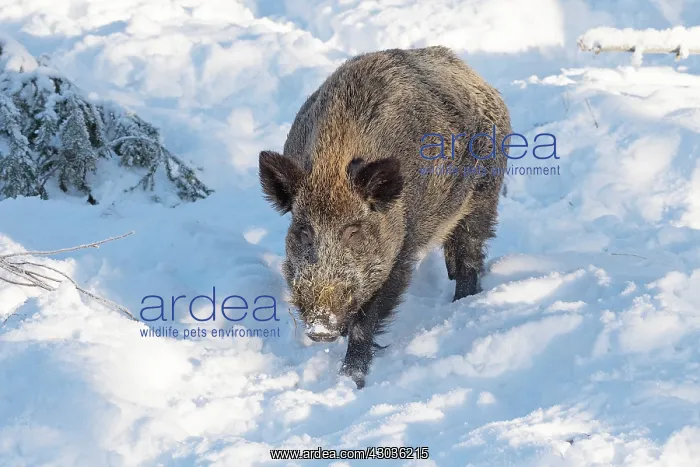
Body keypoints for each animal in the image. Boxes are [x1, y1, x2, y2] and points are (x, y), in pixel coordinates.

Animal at [259, 46, 511, 388]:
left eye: (354, 230)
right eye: (304, 230)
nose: (321, 327)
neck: (332, 162)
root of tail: (476, 77)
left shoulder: (402, 248)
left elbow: (369, 318)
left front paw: (351, 379)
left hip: (485, 192)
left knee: (471, 250)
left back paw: (462, 303)